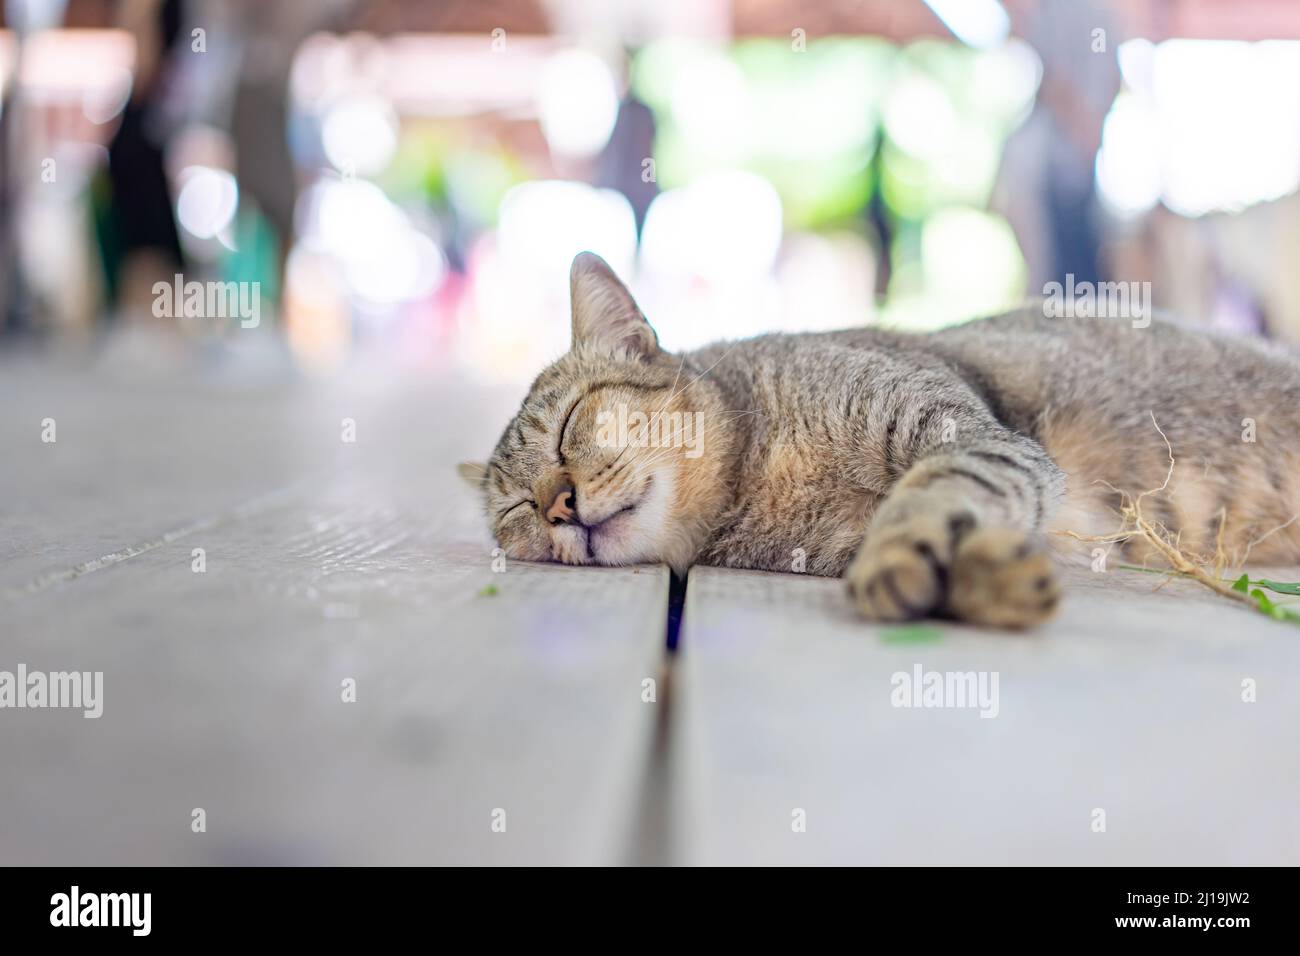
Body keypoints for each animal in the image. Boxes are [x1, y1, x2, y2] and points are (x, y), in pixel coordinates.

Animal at [462, 252, 1300, 629]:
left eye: (569, 426)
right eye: (516, 510)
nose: (558, 506)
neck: (760, 470)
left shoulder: (960, 430)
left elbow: (938, 491)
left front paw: (919, 556)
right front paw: (989, 577)